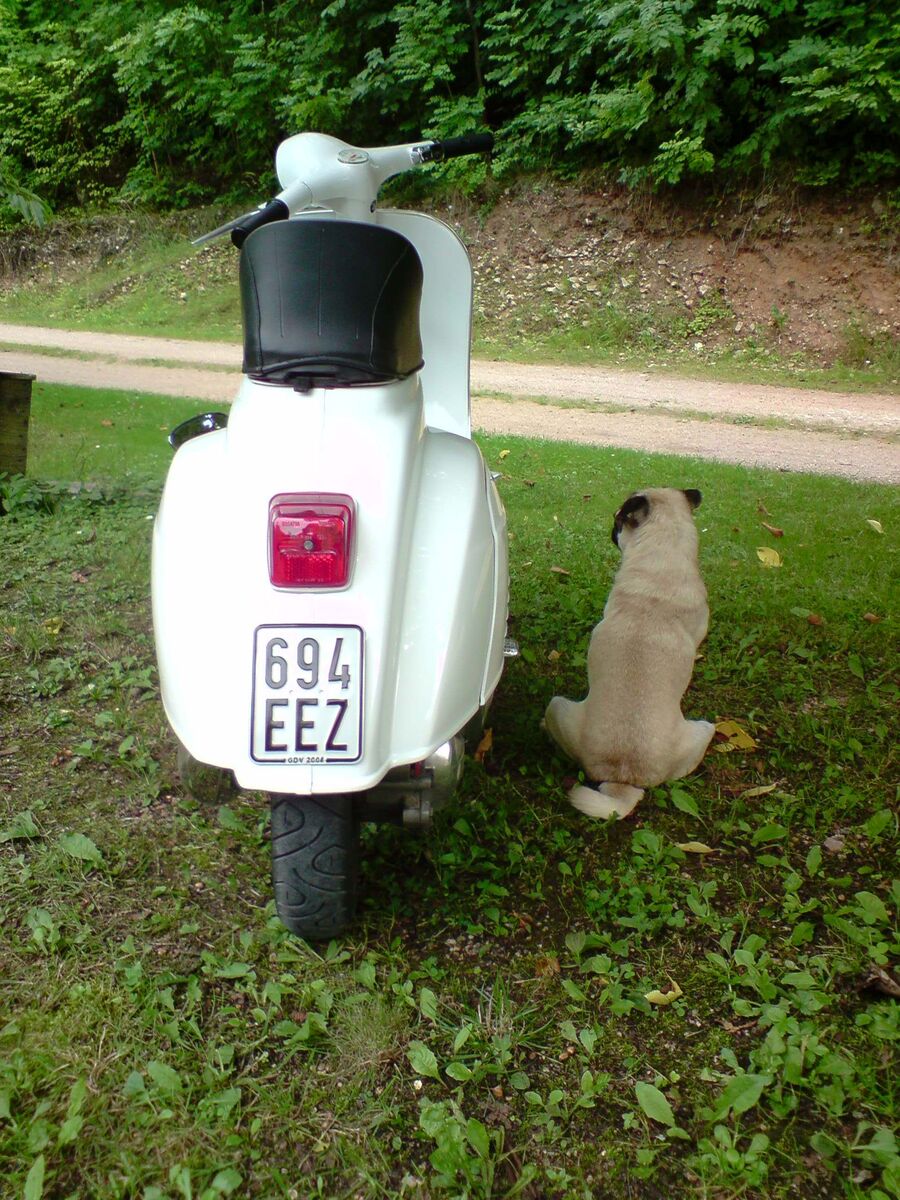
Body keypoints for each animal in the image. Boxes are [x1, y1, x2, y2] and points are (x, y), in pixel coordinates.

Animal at [543, 487, 715, 820]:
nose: (611, 529)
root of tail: (622, 778)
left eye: (618, 521)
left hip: (556, 707)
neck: (663, 552)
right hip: (704, 728)